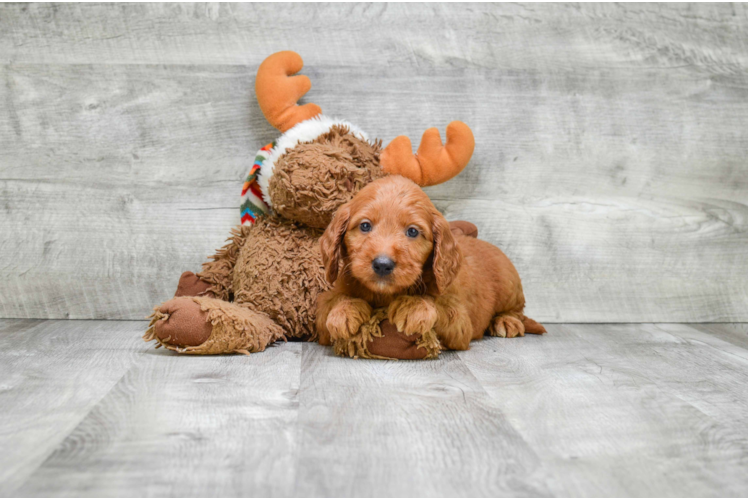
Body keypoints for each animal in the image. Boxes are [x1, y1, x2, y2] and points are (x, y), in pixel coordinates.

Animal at [316, 176, 544, 352]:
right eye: (365, 226)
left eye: (412, 231)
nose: (382, 264)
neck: (384, 295)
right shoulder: (323, 315)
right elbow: (332, 302)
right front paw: (343, 312)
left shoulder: (460, 322)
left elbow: (437, 303)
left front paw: (413, 307)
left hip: (510, 286)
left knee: (517, 310)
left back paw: (507, 321)